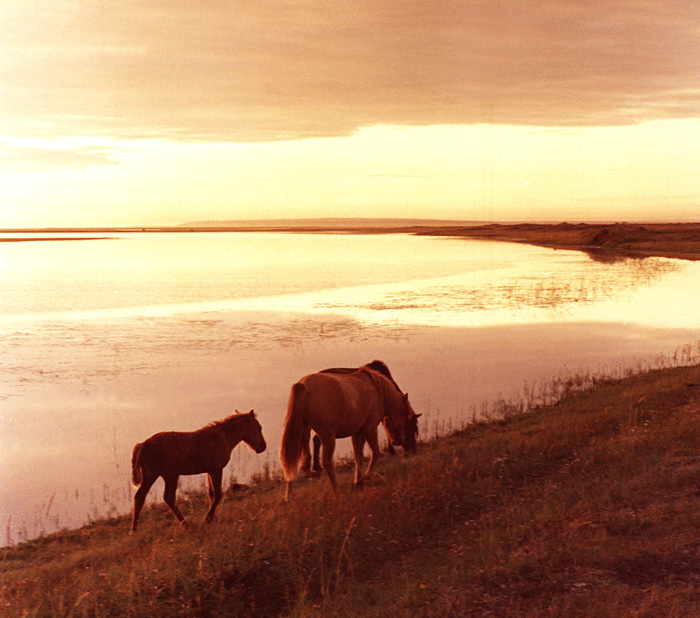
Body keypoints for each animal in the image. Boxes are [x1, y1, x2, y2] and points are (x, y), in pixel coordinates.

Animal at [131, 410, 266, 528]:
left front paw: (211, 518)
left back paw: (134, 530)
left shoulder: (210, 471)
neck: (224, 437)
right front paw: (207, 519)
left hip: (152, 475)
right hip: (170, 475)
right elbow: (218, 494)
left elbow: (211, 494)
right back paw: (185, 524)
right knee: (168, 497)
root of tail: (144, 444)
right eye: (258, 427)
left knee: (140, 497)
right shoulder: (217, 469)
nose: (263, 446)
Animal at [278, 360, 410, 500]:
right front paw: (362, 480)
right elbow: (376, 454)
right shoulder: (370, 429)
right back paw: (336, 491)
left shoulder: (356, 432)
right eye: (405, 415)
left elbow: (358, 457)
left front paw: (357, 482)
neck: (377, 390)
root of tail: (304, 385)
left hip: (299, 432)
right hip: (328, 438)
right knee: (327, 463)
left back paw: (289, 496)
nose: (400, 441)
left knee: (290, 461)